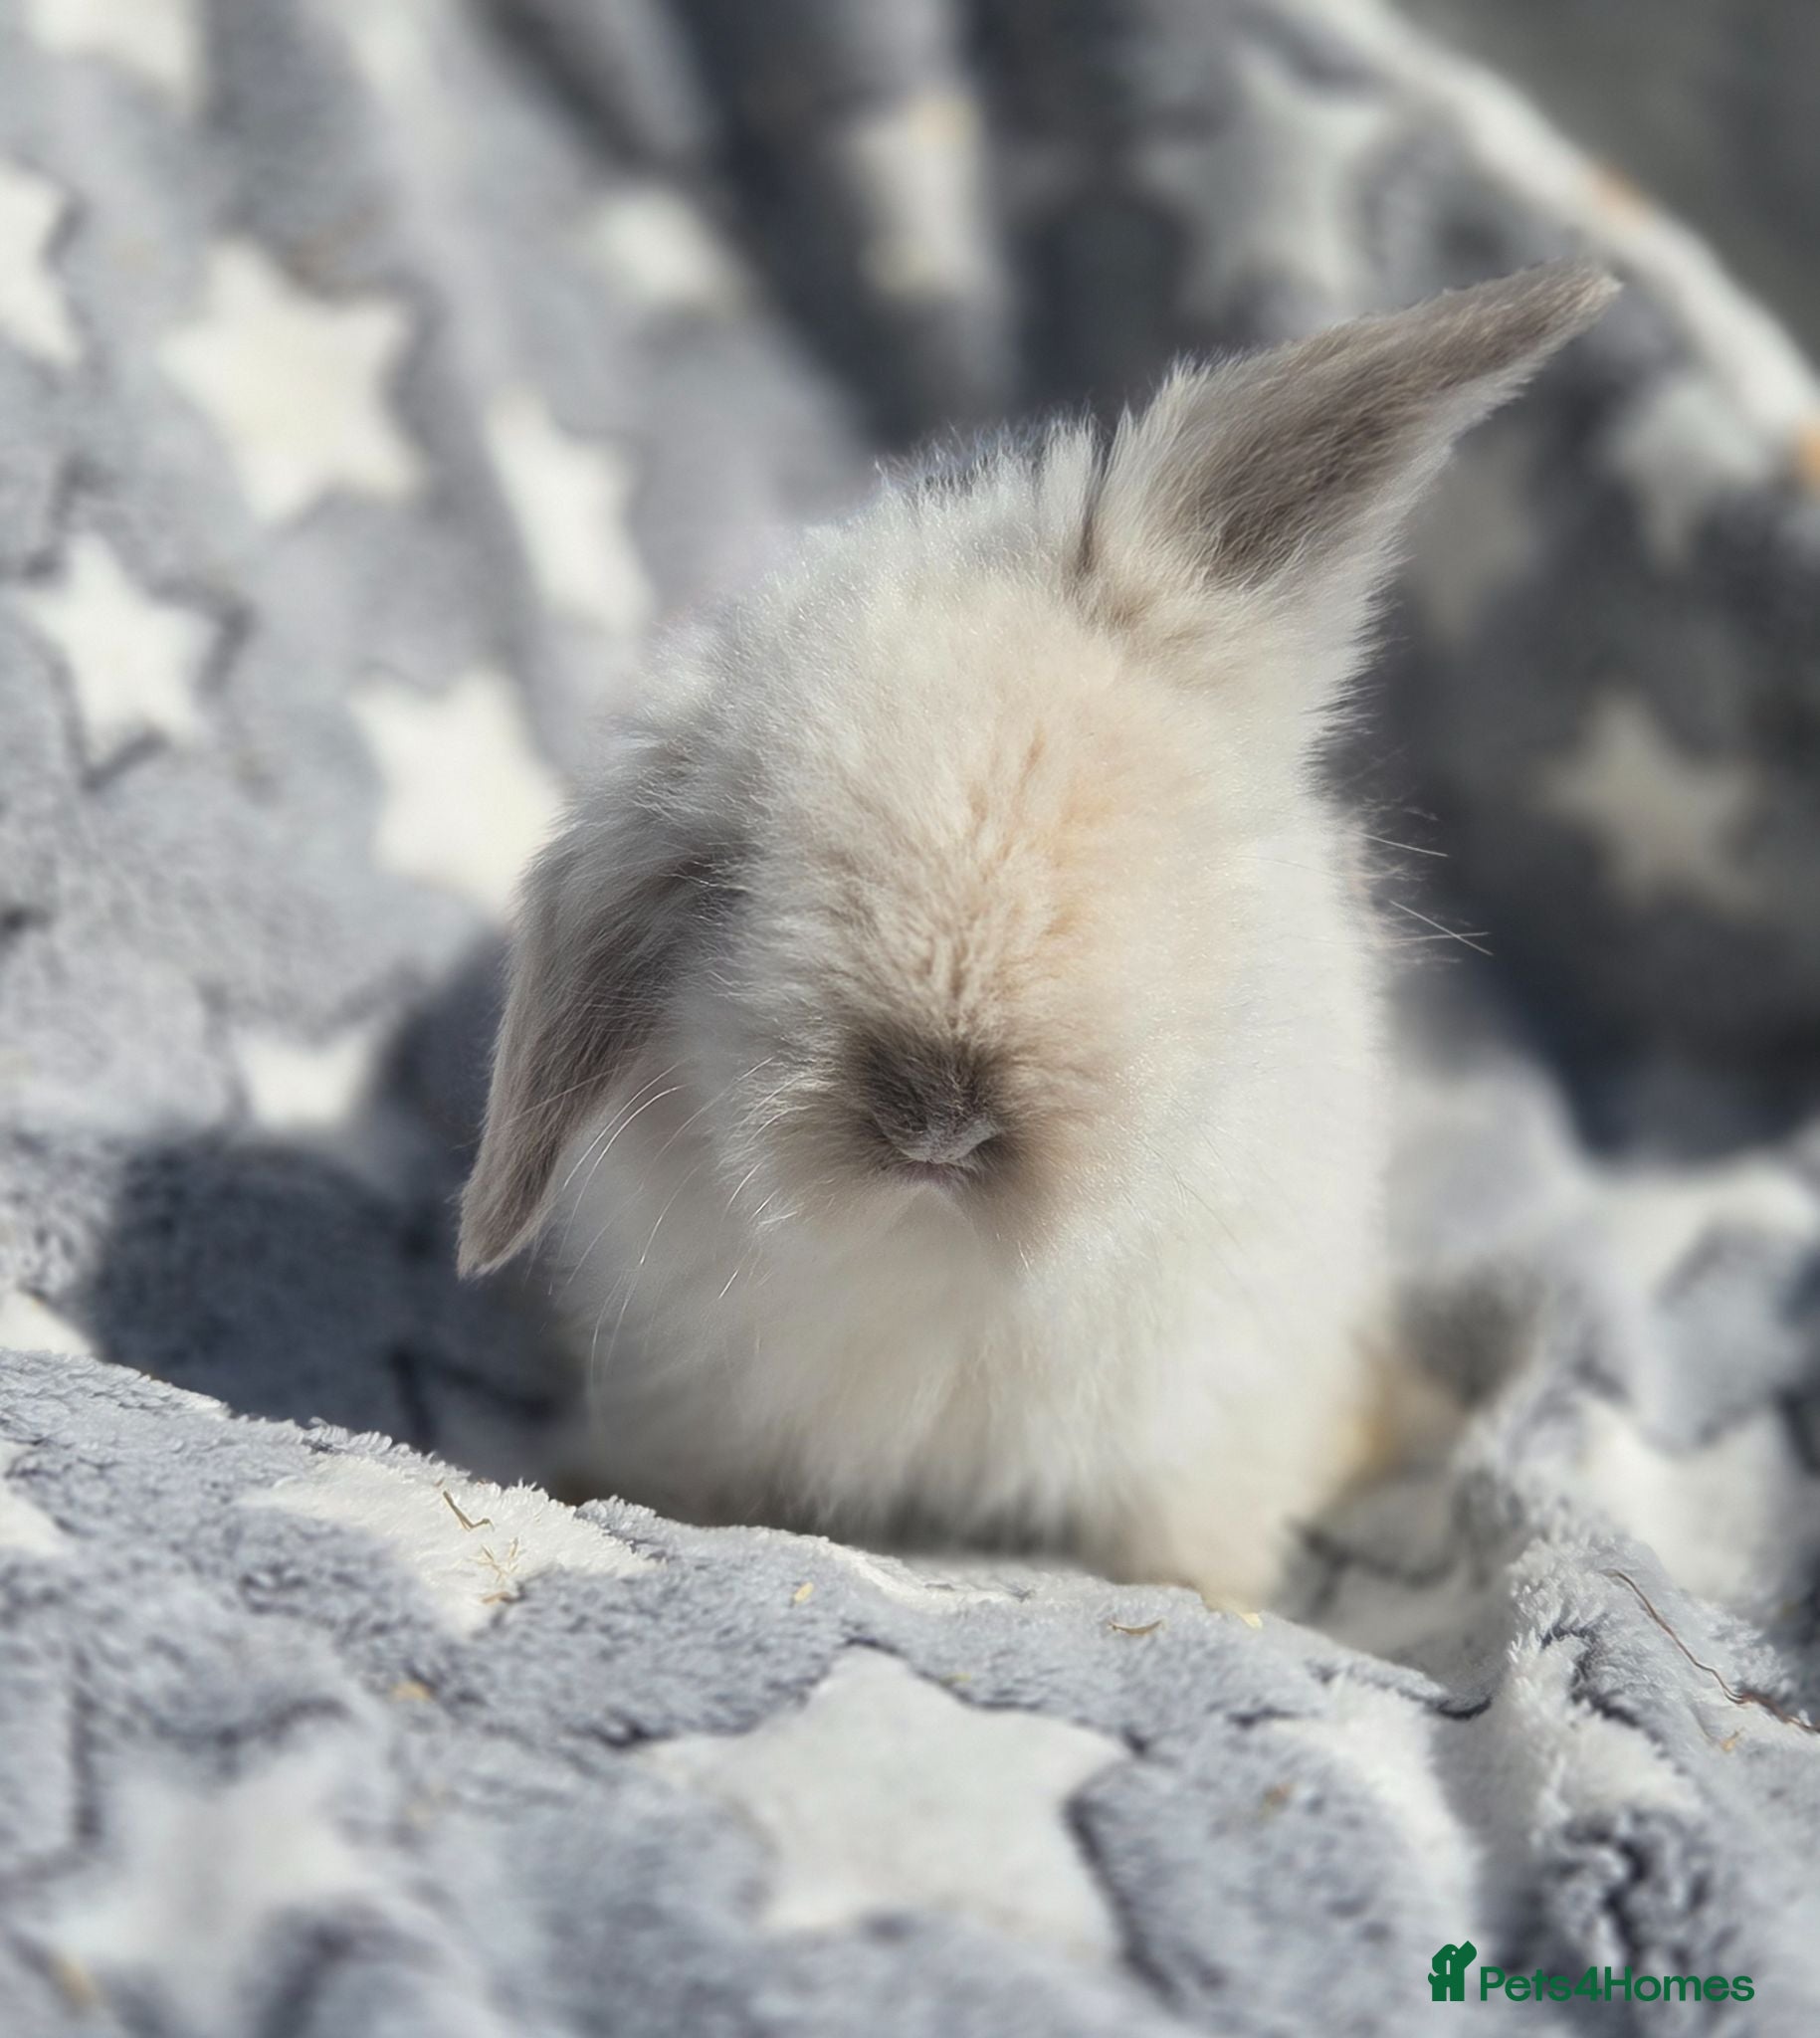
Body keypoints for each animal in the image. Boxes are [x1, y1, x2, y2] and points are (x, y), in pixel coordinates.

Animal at [459, 261, 1616, 1608]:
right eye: (724, 881)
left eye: (1119, 815)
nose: (936, 1117)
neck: (948, 1263)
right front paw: (602, 1486)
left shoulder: (1210, 1390)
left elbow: (1187, 1532)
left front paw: (1214, 1597)